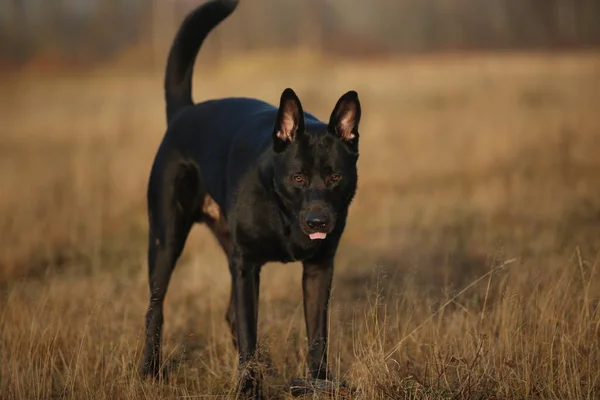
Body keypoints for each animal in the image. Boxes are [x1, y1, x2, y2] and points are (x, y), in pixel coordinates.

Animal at [142, 0, 360, 396]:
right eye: (298, 177)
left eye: (335, 177)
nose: (318, 221)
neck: (284, 214)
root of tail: (184, 112)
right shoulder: (245, 266)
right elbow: (248, 331)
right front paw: (248, 389)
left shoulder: (319, 268)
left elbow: (317, 336)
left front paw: (318, 382)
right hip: (166, 239)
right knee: (156, 307)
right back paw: (149, 371)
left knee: (230, 314)